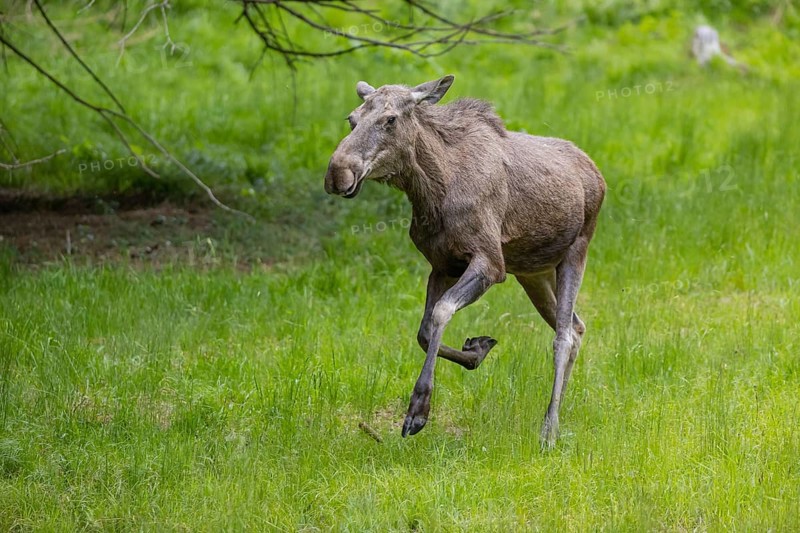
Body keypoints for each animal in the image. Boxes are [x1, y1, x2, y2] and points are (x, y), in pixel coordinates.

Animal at [324, 75, 606, 446]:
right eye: (351, 119)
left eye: (390, 119)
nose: (337, 173)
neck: (431, 191)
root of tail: (598, 174)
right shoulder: (441, 265)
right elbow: (424, 332)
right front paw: (477, 350)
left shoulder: (490, 262)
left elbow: (442, 311)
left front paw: (418, 410)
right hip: (533, 272)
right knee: (577, 326)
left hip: (576, 251)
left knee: (563, 336)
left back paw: (549, 429)